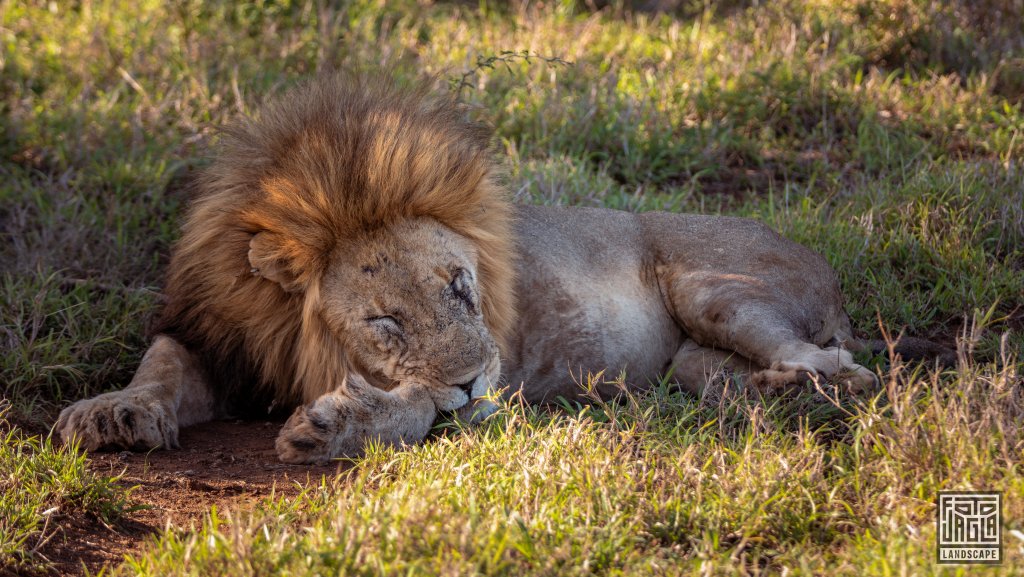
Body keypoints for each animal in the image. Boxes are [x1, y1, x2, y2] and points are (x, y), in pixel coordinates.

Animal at [54, 72, 950, 463]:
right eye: (384, 320)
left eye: (462, 286)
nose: (474, 377)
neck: (289, 333)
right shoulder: (216, 330)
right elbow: (161, 365)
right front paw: (112, 413)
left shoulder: (494, 394)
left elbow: (418, 407)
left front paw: (338, 426)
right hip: (695, 362)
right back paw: (768, 397)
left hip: (716, 286)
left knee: (848, 368)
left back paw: (802, 386)